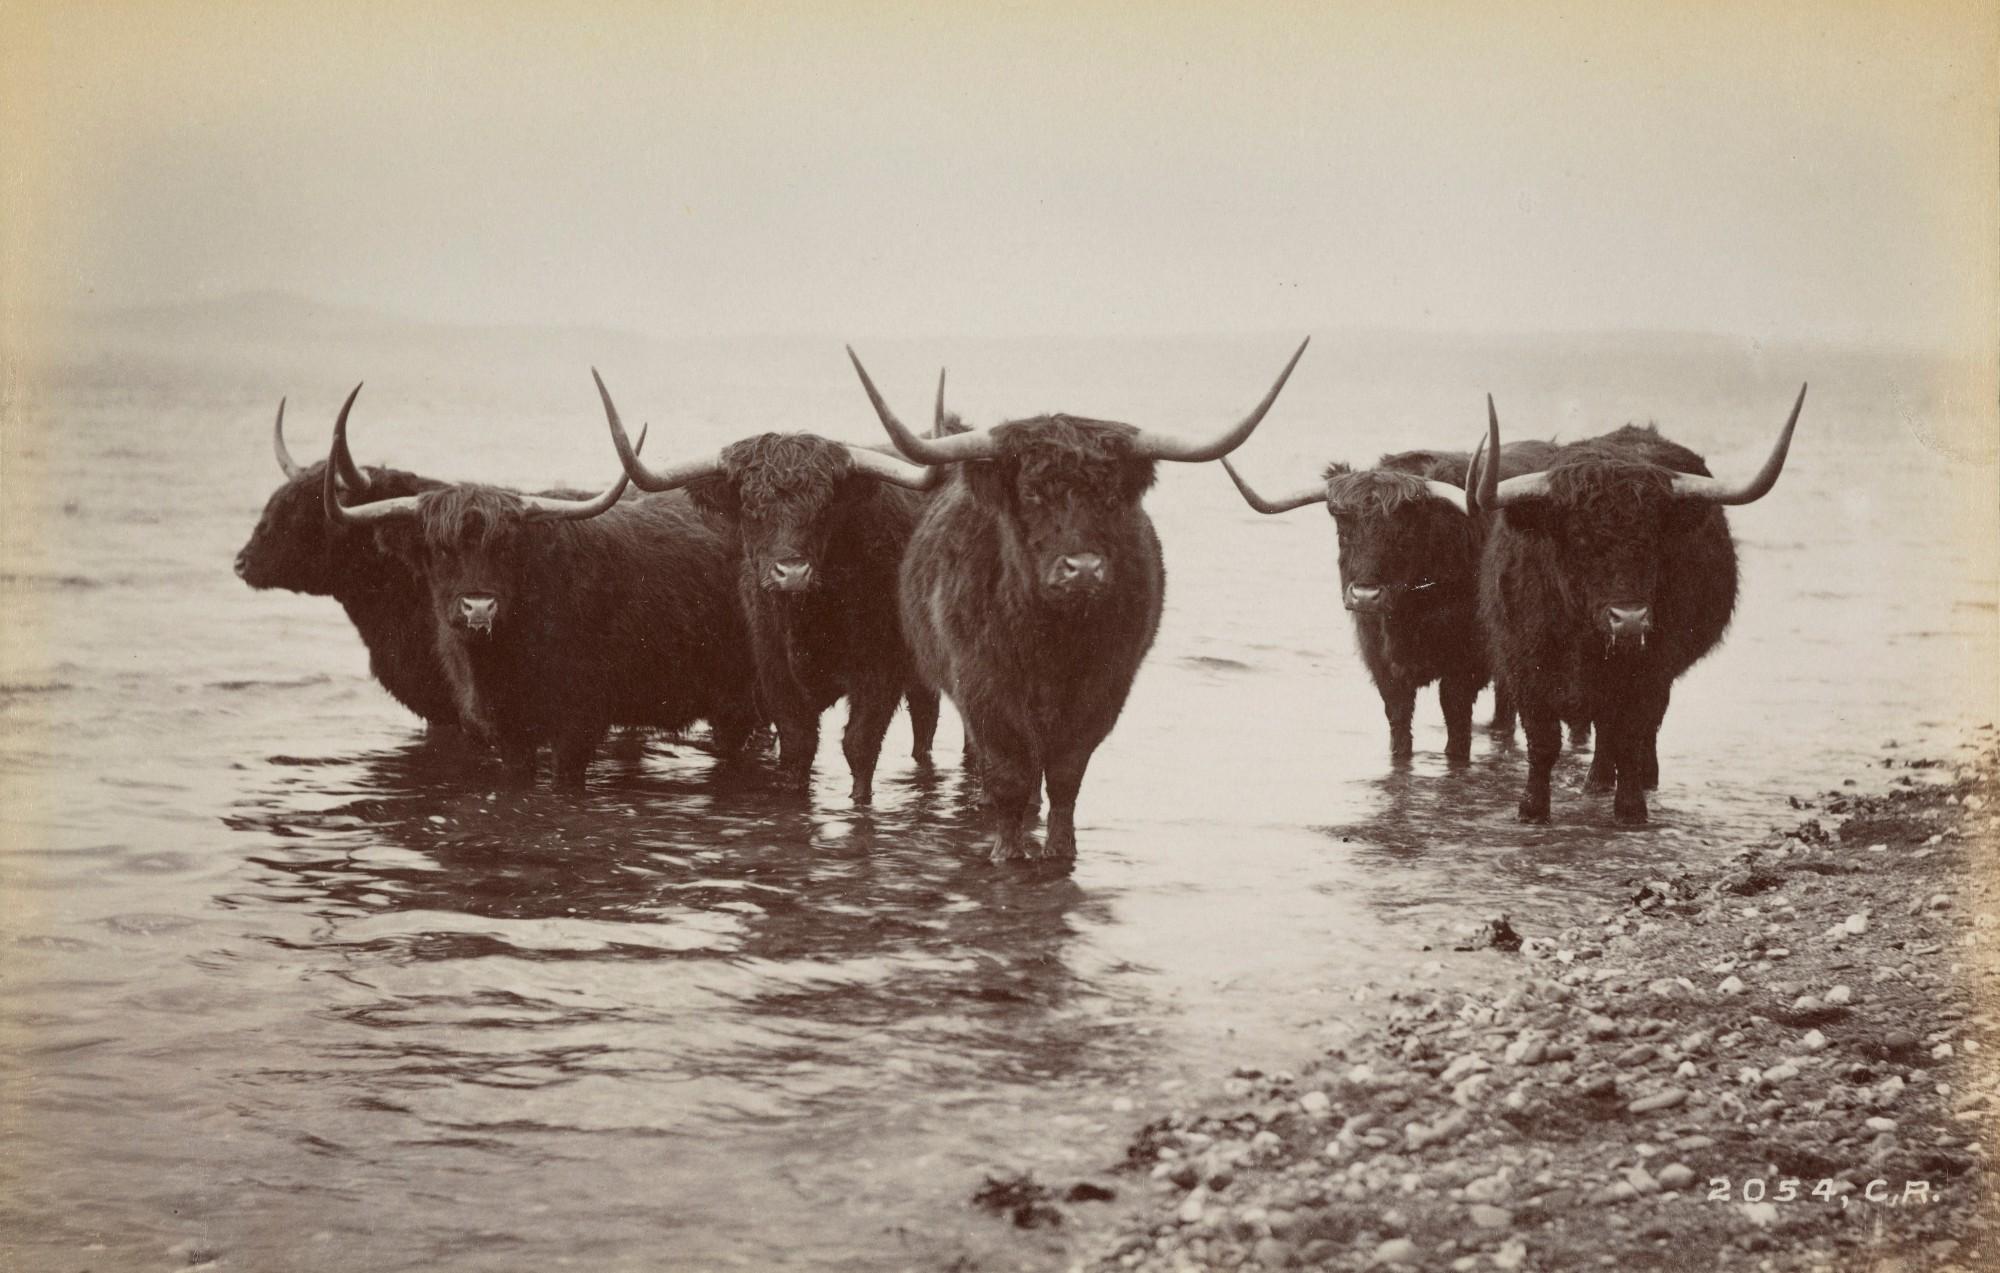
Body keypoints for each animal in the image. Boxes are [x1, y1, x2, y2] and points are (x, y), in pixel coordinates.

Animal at [595, 369, 943, 802]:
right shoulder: (775, 672)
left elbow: (860, 745)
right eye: (749, 506)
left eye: (825, 507)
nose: (791, 572)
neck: (812, 617)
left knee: (926, 721)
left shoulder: (879, 672)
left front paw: (858, 803)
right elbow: (798, 745)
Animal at [845, 339, 1309, 862]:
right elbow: (1008, 770)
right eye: (1031, 492)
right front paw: (1007, 851)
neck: (1053, 637)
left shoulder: (1105, 690)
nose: (1083, 569)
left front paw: (1061, 850)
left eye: (1111, 494)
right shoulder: (984, 686)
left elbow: (1067, 774)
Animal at [1219, 438, 1563, 763]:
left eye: (1403, 529)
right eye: (1343, 526)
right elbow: (1399, 727)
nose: (1365, 596)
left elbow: (1456, 727)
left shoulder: (1466, 668)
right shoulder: (1384, 668)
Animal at [1473, 385, 1807, 824]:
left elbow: (1630, 734)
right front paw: (1532, 810)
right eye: (1578, 538)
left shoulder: (1650, 672)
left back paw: (1624, 780)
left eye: (1653, 539)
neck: (1584, 641)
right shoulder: (1525, 668)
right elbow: (1543, 742)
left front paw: (1631, 810)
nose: (1629, 620)